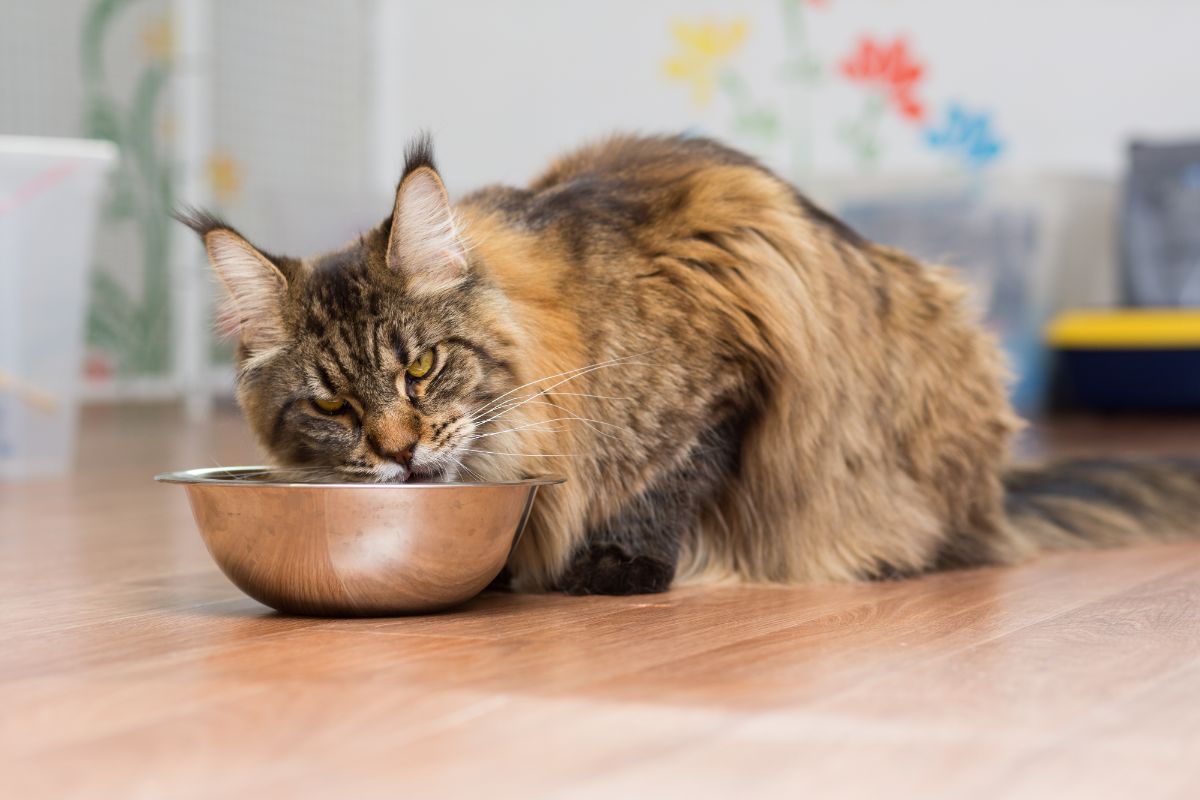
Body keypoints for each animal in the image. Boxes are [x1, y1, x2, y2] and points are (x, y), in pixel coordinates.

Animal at [177, 133, 1200, 594]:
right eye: (334, 408)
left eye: (422, 366)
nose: (396, 451)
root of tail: (995, 494)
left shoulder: (733, 357)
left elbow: (669, 476)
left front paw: (615, 567)